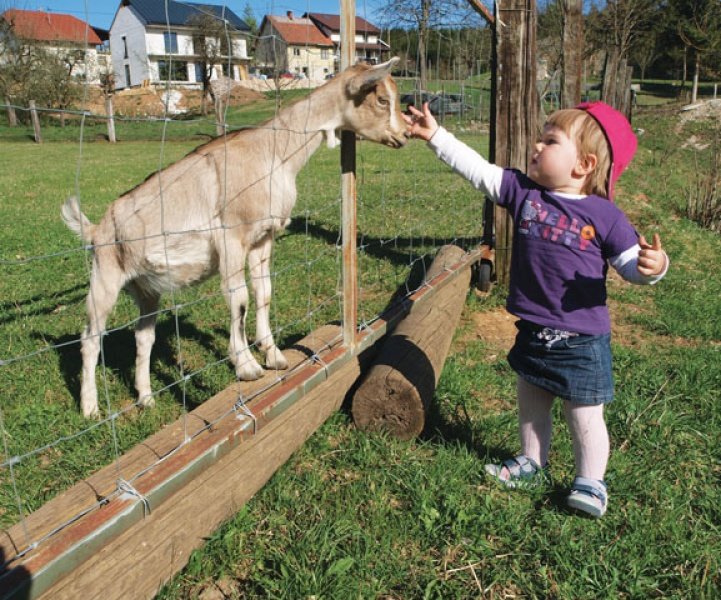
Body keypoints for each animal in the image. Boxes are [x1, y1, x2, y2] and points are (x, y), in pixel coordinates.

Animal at [62, 59, 408, 418]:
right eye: (382, 99)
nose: (404, 134)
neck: (274, 152)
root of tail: (96, 229)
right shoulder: (231, 238)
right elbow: (238, 298)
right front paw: (246, 366)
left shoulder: (262, 238)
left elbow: (263, 292)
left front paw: (274, 356)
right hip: (104, 276)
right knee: (90, 339)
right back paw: (90, 408)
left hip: (146, 290)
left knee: (143, 337)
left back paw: (146, 398)